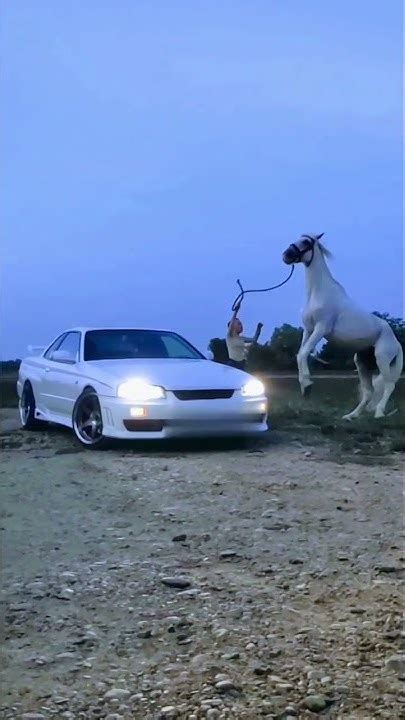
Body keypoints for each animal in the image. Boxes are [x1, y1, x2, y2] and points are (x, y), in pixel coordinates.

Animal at [282, 233, 403, 419]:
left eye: (306, 242)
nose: (286, 255)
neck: (318, 293)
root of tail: (396, 343)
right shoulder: (308, 330)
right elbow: (299, 354)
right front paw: (304, 387)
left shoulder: (321, 328)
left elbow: (303, 353)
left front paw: (308, 385)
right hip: (362, 363)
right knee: (369, 391)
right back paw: (351, 416)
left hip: (382, 358)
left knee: (389, 386)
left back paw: (379, 413)